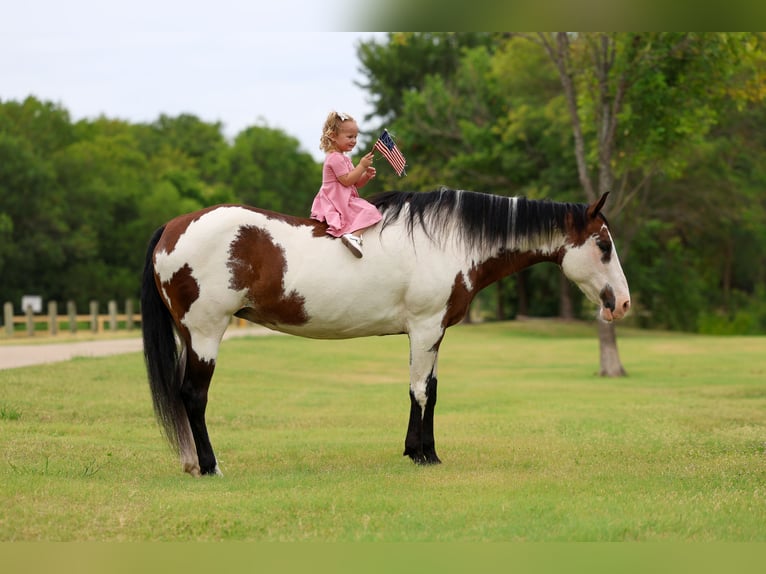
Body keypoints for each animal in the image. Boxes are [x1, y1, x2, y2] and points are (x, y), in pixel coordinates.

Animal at [140, 188, 630, 476]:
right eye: (603, 244)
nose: (622, 304)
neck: (448, 241)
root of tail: (171, 227)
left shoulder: (433, 332)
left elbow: (429, 389)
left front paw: (420, 450)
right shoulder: (426, 327)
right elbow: (421, 391)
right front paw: (425, 456)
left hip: (191, 337)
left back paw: (191, 462)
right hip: (206, 333)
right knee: (193, 396)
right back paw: (208, 465)